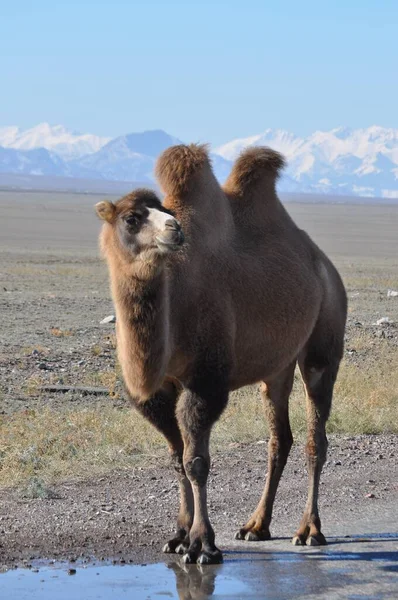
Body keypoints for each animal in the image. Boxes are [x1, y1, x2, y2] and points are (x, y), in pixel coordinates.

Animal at [95, 143, 346, 564]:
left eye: (165, 210)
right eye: (132, 218)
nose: (174, 229)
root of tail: (324, 264)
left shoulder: (206, 379)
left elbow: (196, 462)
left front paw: (202, 544)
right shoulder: (159, 390)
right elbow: (176, 459)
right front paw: (178, 536)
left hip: (323, 344)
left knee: (316, 439)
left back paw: (309, 530)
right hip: (276, 367)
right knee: (279, 439)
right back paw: (256, 526)